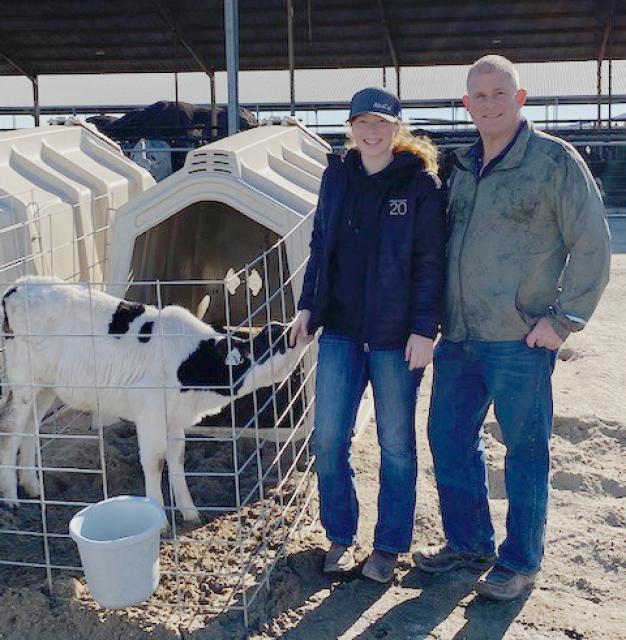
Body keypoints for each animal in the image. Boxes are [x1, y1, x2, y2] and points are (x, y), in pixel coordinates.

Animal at [0, 276, 302, 520]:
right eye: (274, 339)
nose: (299, 326)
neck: (191, 362)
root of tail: (19, 285)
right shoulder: (149, 410)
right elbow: (154, 461)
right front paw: (160, 516)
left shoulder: (175, 417)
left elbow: (177, 458)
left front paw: (190, 512)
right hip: (23, 381)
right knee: (11, 431)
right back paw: (12, 498)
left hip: (45, 387)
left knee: (30, 429)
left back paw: (32, 486)